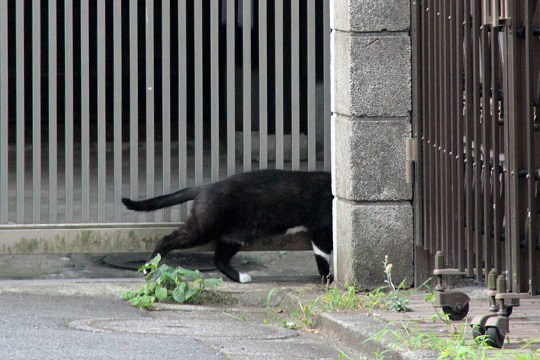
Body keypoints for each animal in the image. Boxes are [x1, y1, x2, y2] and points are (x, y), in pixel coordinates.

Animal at [123, 170, 334, 282]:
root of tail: (205, 187)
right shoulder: (321, 230)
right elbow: (323, 257)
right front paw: (328, 280)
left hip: (234, 236)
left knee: (218, 259)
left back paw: (241, 277)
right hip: (203, 228)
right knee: (167, 239)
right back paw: (148, 268)